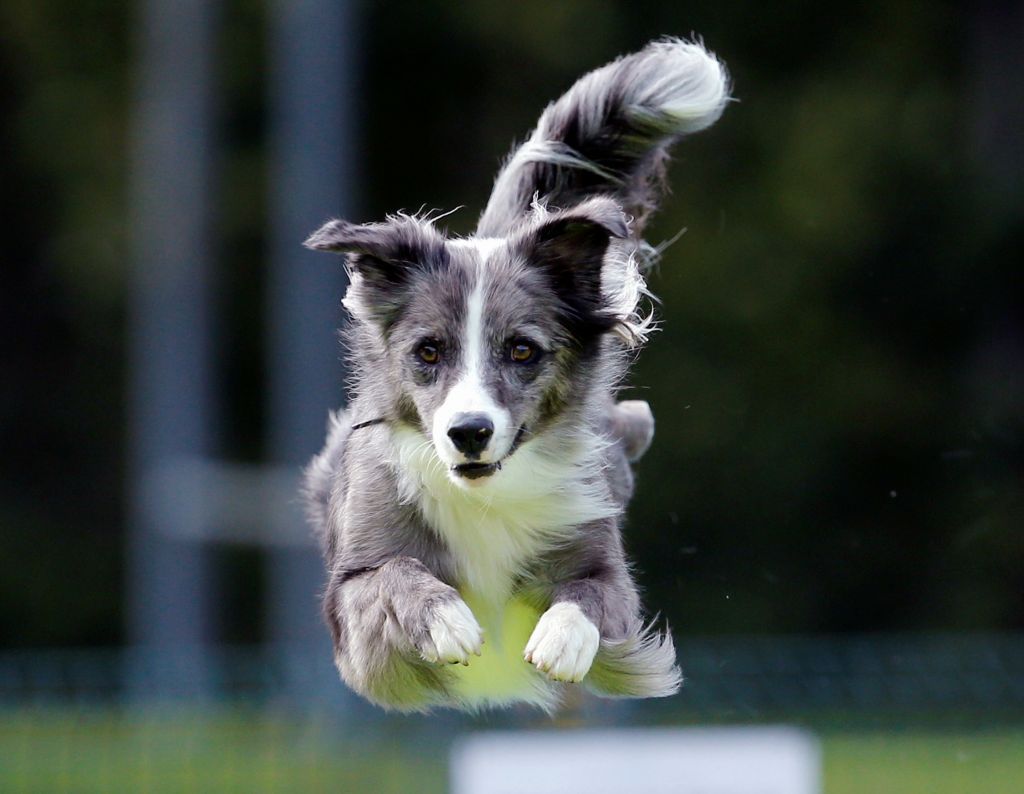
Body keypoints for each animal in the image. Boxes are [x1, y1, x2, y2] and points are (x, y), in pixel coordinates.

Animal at [301, 38, 729, 713]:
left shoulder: (602, 556)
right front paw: (447, 620)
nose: (469, 432)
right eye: (428, 352)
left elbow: (595, 592)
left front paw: (562, 639)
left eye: (523, 351)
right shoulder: (356, 596)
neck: (485, 496)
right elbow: (394, 575)